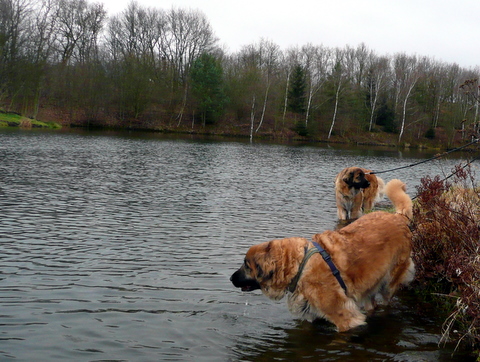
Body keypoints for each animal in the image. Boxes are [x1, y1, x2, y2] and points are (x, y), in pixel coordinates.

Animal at [231, 180, 414, 332]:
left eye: (246, 265)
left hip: (389, 283)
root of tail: (398, 216)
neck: (300, 266)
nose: (231, 278)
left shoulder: (346, 318)